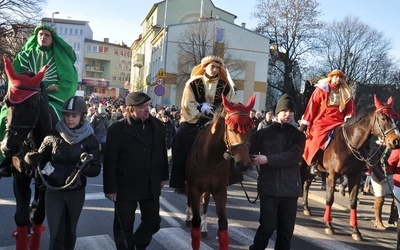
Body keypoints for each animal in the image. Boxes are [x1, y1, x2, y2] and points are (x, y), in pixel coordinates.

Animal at [0, 57, 54, 250]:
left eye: (31, 105)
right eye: (6, 102)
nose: (7, 148)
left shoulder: (46, 181)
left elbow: (38, 214)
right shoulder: (19, 177)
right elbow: (21, 217)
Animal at [186, 94, 255, 250]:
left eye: (251, 130)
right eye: (232, 129)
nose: (243, 164)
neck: (210, 156)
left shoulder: (220, 192)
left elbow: (223, 224)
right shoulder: (194, 189)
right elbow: (195, 221)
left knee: (205, 202)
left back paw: (205, 229)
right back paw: (187, 218)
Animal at [300, 94, 400, 241]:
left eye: (396, 119)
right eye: (383, 118)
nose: (396, 141)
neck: (350, 143)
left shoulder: (355, 175)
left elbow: (353, 201)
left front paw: (355, 231)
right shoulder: (332, 175)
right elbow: (330, 199)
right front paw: (329, 225)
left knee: (306, 184)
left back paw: (306, 208)